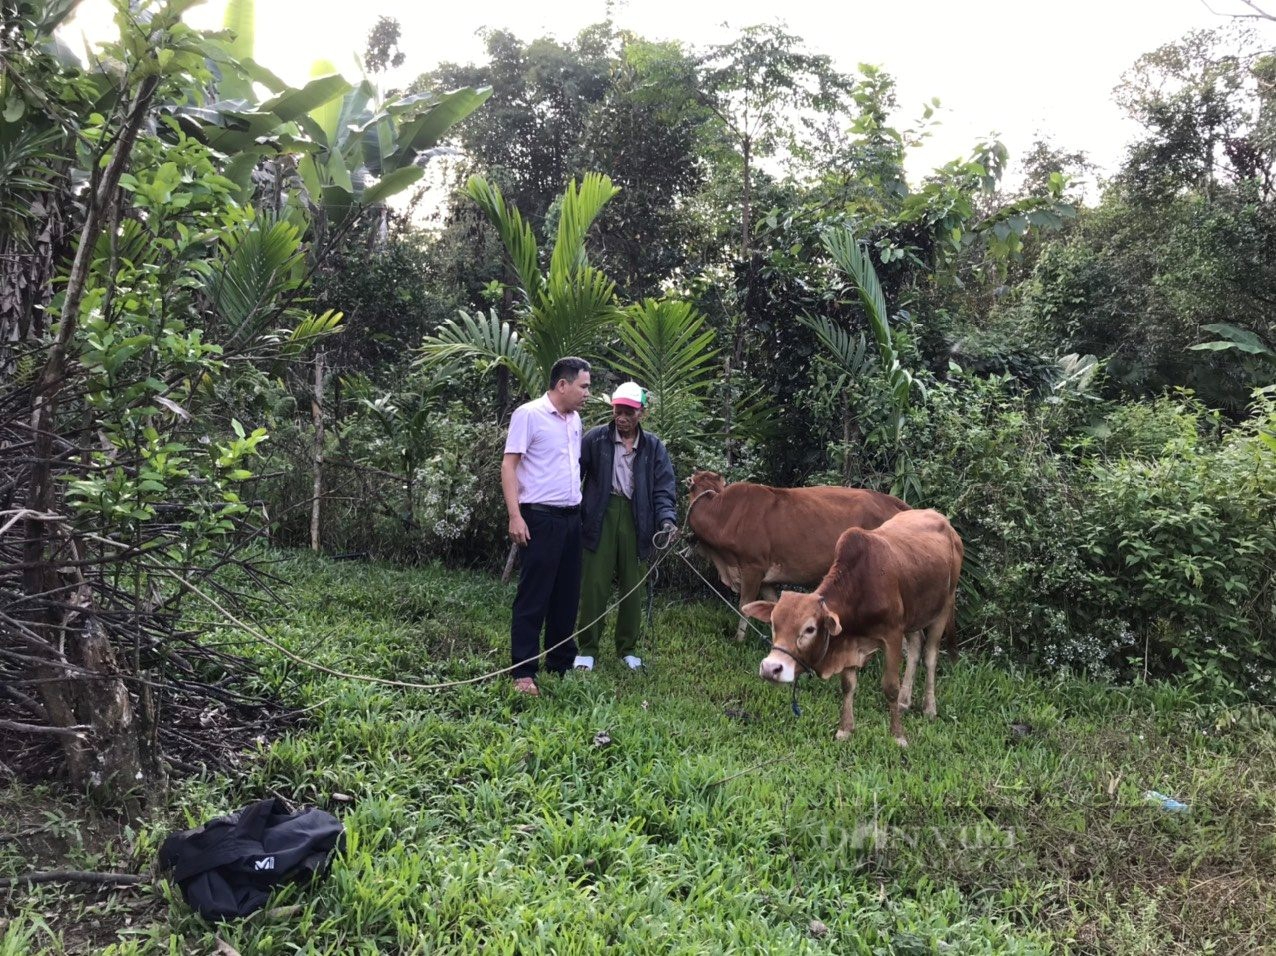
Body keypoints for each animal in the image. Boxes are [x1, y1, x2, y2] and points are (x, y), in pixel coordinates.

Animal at [689, 469, 908, 640]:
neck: (724, 513)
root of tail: (892, 501)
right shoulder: (765, 578)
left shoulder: (752, 567)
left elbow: (745, 605)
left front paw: (739, 639)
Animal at [745, 507, 959, 745]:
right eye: (773, 624)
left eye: (810, 629)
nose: (770, 668)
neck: (860, 589)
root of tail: (941, 519)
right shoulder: (849, 641)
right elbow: (848, 685)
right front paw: (845, 730)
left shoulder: (892, 636)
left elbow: (890, 688)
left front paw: (898, 736)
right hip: (914, 615)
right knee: (915, 646)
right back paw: (905, 701)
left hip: (943, 607)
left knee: (930, 656)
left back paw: (929, 708)